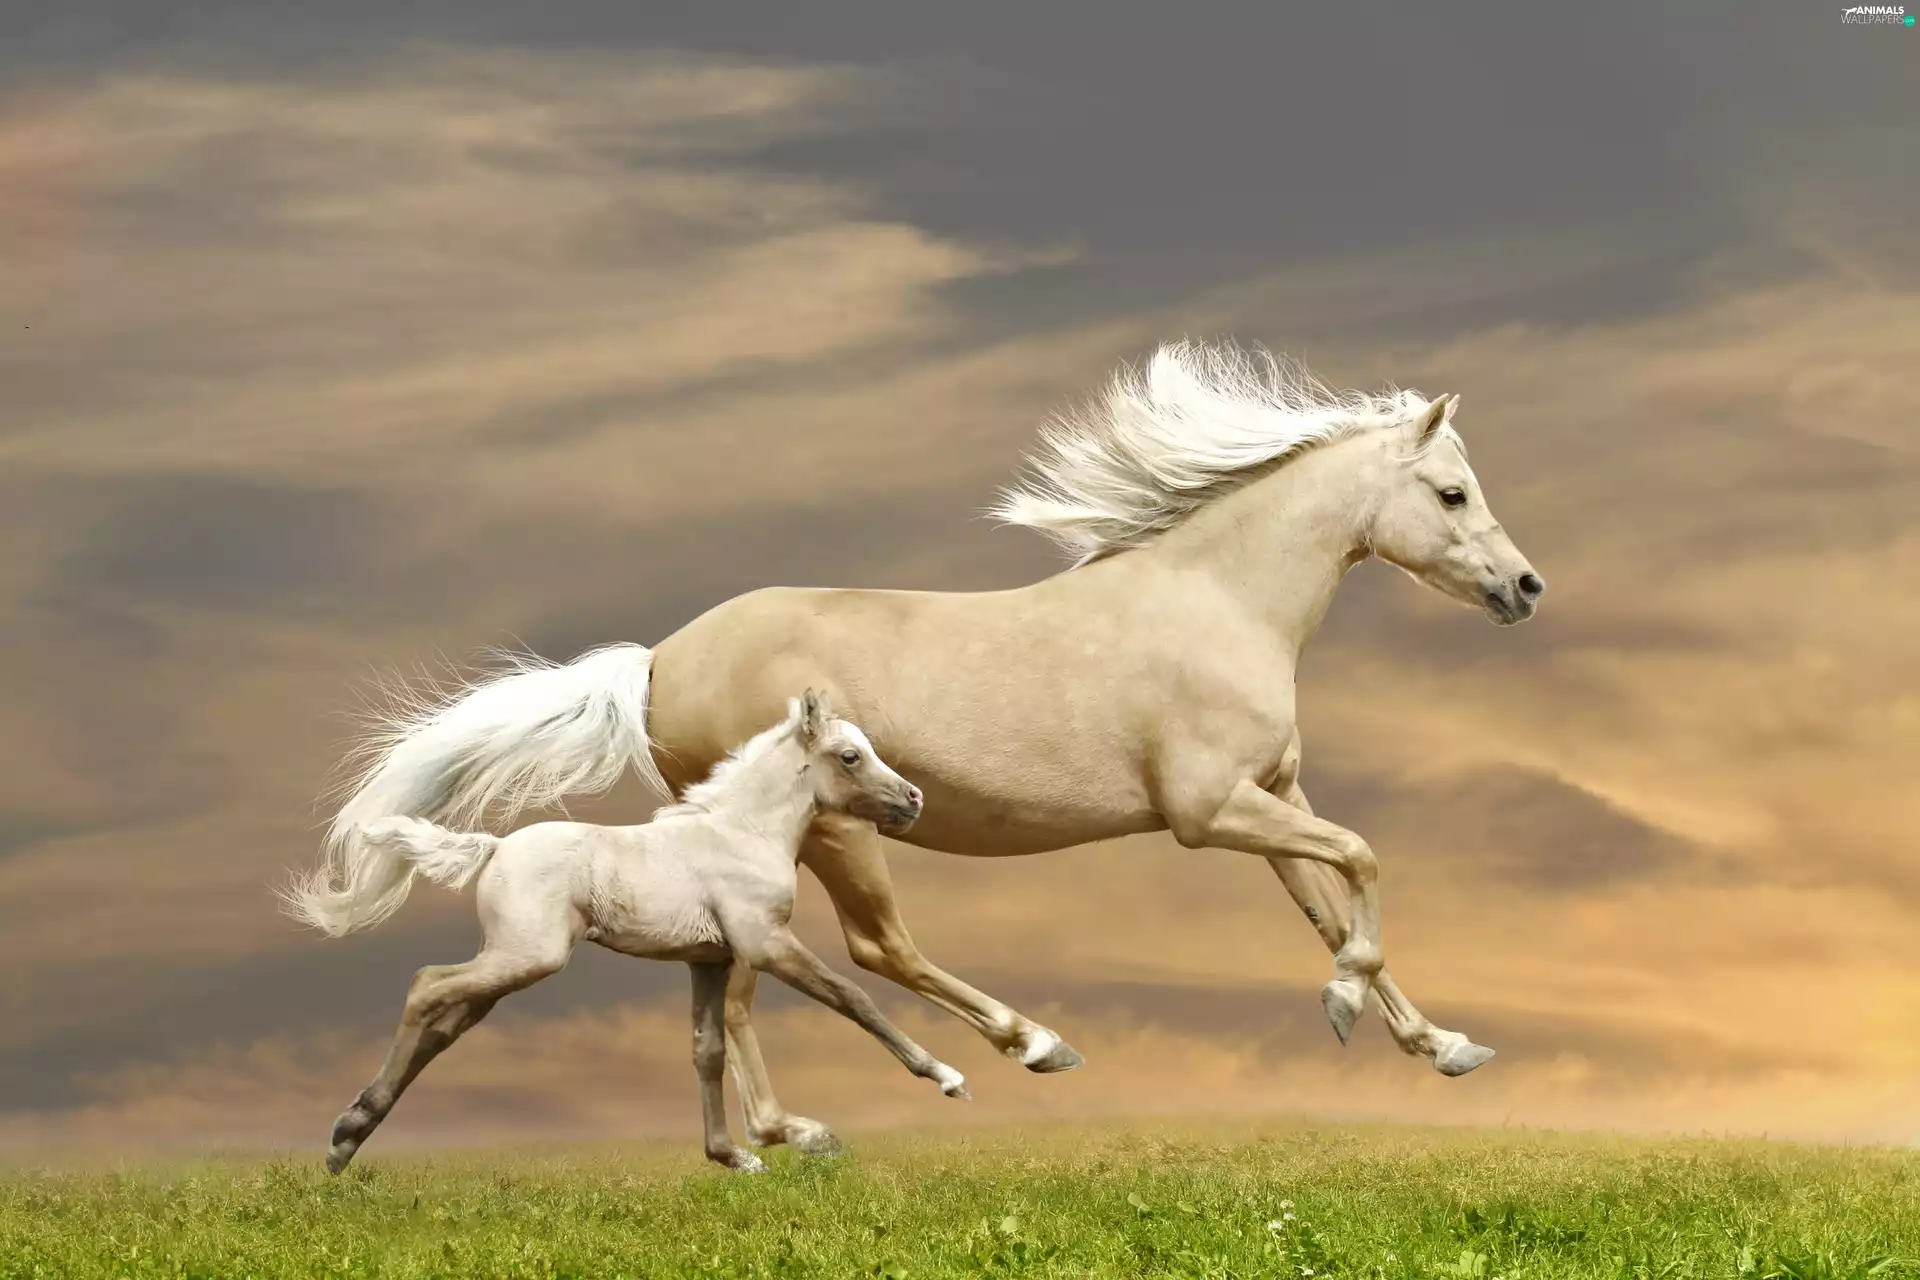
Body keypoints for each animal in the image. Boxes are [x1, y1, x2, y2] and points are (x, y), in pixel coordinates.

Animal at [307, 691, 968, 1175]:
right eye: (850, 756)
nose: (913, 799)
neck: (743, 832)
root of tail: (492, 847)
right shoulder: (765, 944)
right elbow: (852, 998)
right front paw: (943, 1079)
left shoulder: (709, 960)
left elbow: (707, 1051)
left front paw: (731, 1156)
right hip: (529, 956)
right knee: (427, 984)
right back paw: (347, 1133)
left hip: (508, 965)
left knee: (443, 1021)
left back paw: (347, 1138)